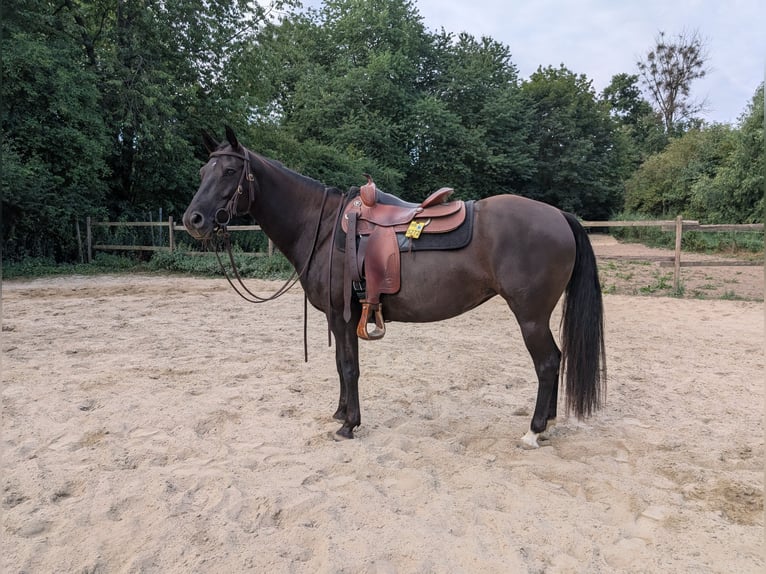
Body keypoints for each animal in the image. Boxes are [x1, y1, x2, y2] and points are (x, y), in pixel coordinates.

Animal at [183, 127, 606, 449]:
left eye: (229, 172)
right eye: (203, 170)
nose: (193, 219)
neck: (323, 229)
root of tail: (559, 215)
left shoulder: (343, 316)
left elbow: (349, 367)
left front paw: (349, 424)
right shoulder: (341, 317)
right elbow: (341, 366)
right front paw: (340, 412)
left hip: (530, 315)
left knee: (548, 362)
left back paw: (534, 431)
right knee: (555, 360)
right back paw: (548, 423)